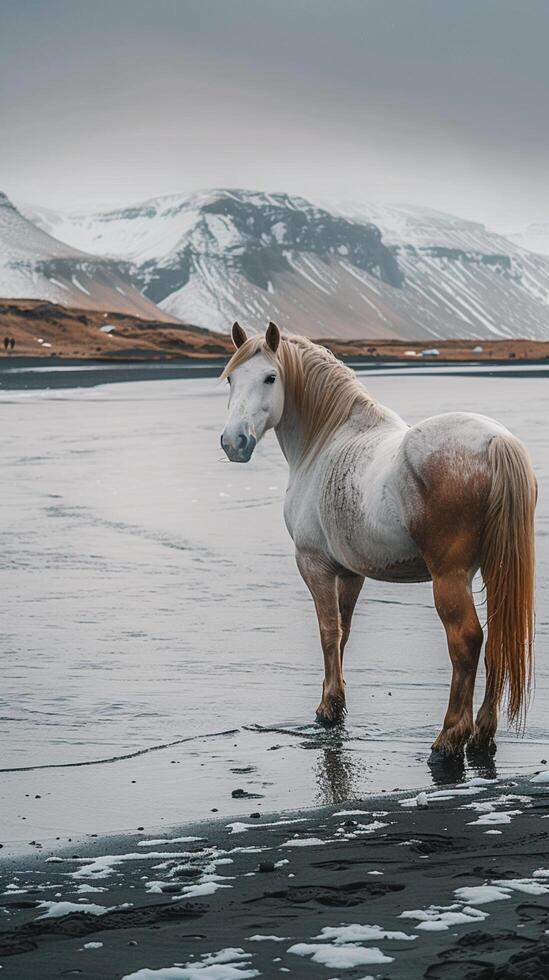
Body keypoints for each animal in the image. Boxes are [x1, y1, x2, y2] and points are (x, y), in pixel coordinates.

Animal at [219, 322, 536, 756]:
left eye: (270, 377)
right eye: (231, 378)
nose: (234, 442)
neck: (327, 441)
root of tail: (495, 442)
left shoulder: (314, 564)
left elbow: (328, 632)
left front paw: (328, 708)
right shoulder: (351, 572)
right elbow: (344, 631)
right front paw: (335, 699)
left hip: (450, 577)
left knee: (466, 641)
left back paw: (450, 735)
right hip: (493, 569)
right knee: (498, 644)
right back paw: (483, 734)